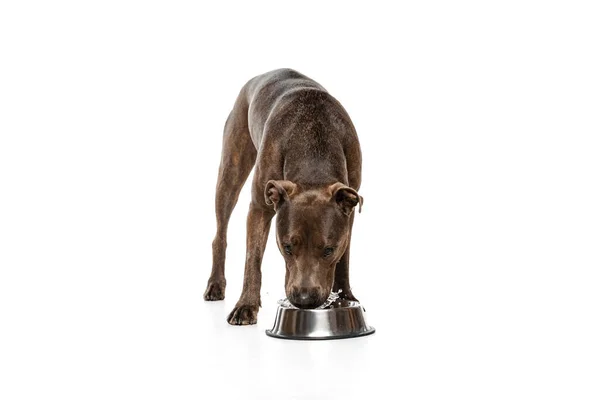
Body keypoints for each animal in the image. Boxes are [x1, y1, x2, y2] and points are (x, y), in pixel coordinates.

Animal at [204, 69, 364, 324]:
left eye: (328, 250)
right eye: (287, 247)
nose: (305, 299)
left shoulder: (348, 214)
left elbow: (344, 260)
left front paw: (345, 297)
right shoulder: (259, 208)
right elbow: (252, 258)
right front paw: (246, 305)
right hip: (230, 172)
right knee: (220, 234)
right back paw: (216, 284)